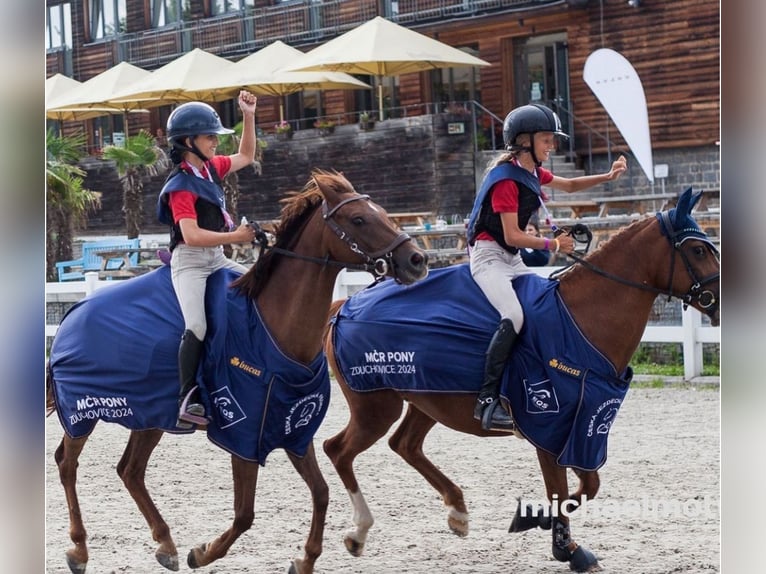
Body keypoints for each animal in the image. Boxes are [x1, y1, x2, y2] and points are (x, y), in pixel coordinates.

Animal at [45, 171, 432, 574]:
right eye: (358, 219)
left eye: (383, 213)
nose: (416, 260)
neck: (274, 325)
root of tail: (72, 315)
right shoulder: (242, 431)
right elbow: (245, 513)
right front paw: (203, 552)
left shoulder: (291, 424)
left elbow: (321, 492)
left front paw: (306, 558)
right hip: (82, 414)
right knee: (67, 463)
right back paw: (79, 549)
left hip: (150, 416)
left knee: (130, 470)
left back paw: (165, 543)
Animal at [322, 188, 720, 572]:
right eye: (698, 249)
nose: (719, 301)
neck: (580, 320)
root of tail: (344, 306)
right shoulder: (547, 425)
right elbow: (561, 491)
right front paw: (567, 549)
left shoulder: (580, 427)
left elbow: (587, 486)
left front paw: (537, 520)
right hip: (376, 407)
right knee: (337, 449)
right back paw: (358, 533)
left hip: (427, 398)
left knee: (404, 444)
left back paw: (457, 511)